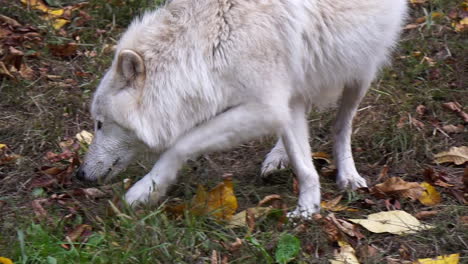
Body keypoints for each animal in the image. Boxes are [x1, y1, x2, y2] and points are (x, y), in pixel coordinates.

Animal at [76, 0, 406, 218]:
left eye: (100, 123)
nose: (79, 174)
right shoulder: (279, 105)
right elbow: (303, 163)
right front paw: (308, 207)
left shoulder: (265, 108)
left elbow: (180, 145)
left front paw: (146, 190)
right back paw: (277, 158)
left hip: (359, 74)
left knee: (342, 126)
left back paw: (348, 175)